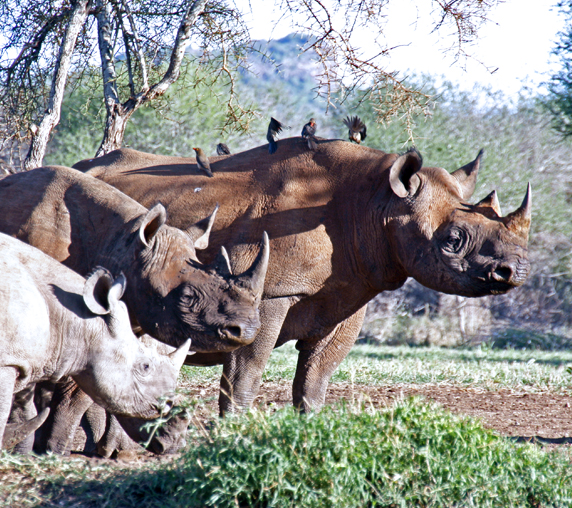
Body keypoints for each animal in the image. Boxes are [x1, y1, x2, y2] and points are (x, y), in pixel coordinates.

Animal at [76, 139, 532, 412]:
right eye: (453, 240)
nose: (517, 271)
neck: (377, 203)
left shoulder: (351, 295)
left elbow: (316, 378)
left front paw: (308, 427)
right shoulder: (269, 295)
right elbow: (246, 372)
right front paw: (234, 431)